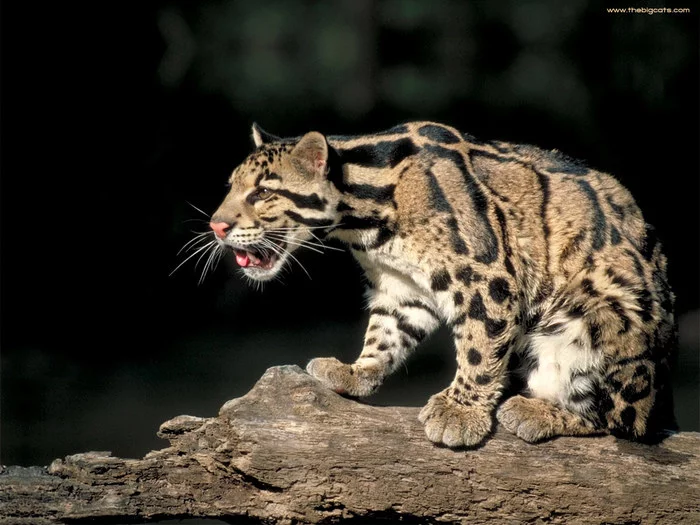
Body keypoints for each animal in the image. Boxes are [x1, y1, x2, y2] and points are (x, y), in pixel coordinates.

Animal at [205, 121, 676, 444]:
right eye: (230, 187)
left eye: (263, 192)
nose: (216, 225)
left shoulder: (490, 276)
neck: (365, 221)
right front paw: (357, 372)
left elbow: (480, 347)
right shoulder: (402, 288)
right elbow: (385, 333)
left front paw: (460, 412)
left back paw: (538, 411)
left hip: (601, 319)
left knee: (619, 420)